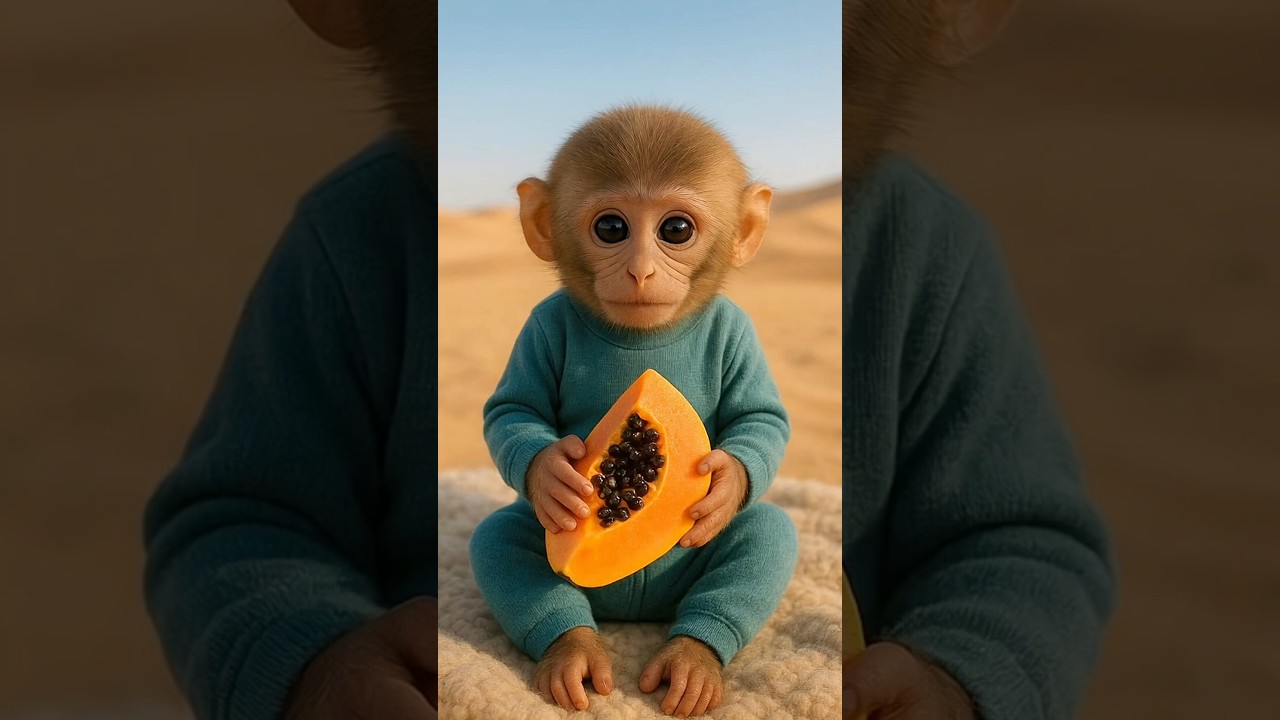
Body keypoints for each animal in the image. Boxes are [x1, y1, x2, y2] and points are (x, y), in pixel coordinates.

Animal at [469, 104, 796, 716]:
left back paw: (690, 667)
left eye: (676, 230)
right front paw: (554, 475)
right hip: (533, 555)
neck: (644, 340)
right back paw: (573, 656)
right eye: (611, 229)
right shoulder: (538, 331)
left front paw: (722, 484)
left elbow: (762, 419)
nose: (641, 271)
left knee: (765, 537)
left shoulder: (740, 336)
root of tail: (633, 613)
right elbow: (511, 411)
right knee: (502, 543)